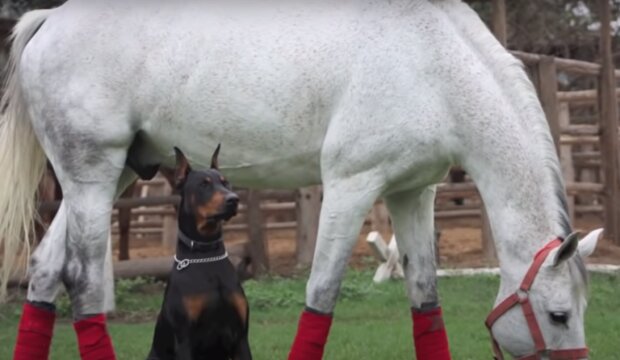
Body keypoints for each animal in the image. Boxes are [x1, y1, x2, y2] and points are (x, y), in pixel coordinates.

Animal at [0, 0, 600, 358]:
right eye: (558, 314)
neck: (431, 65)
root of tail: (50, 18)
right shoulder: (351, 186)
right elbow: (321, 296)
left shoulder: (412, 193)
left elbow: (426, 300)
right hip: (93, 178)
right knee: (83, 283)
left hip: (112, 177)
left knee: (45, 271)